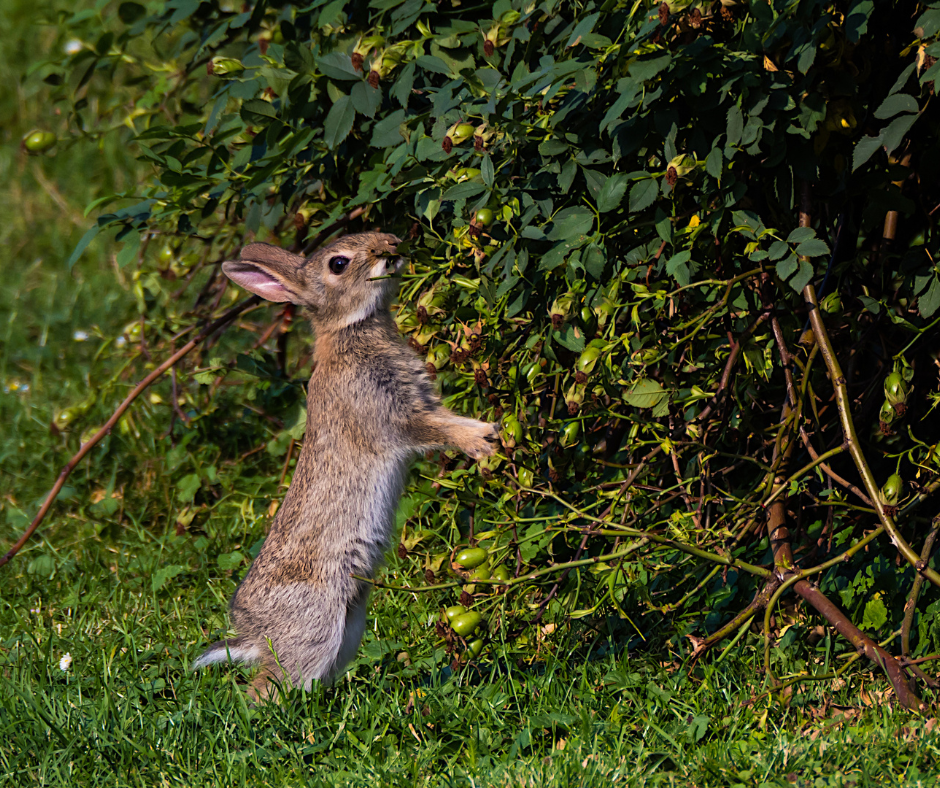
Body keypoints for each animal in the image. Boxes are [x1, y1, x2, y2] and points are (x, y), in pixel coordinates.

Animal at [191, 232, 499, 700]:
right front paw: (484, 441)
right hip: (317, 622)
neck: (350, 331)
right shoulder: (392, 416)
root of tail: (254, 634)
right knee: (270, 685)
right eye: (338, 263)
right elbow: (434, 430)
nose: (392, 243)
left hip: (350, 626)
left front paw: (489, 431)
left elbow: (446, 419)